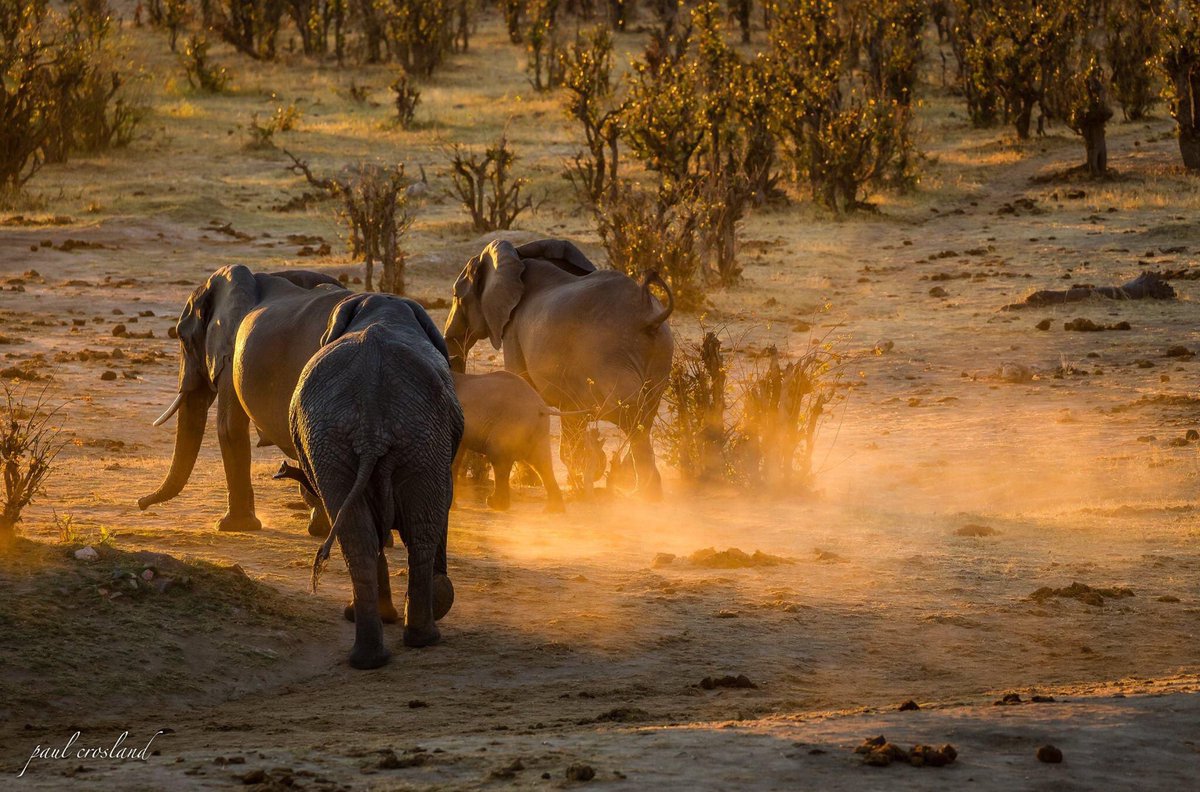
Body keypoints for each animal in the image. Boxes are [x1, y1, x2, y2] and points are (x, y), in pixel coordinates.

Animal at [291, 290, 463, 667]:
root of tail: (371, 424)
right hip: (414, 437)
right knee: (413, 531)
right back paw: (418, 639)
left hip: (349, 443)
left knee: (363, 537)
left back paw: (374, 655)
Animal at [451, 367, 564, 511]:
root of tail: (541, 407)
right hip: (538, 430)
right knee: (541, 463)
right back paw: (553, 510)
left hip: (511, 424)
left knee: (498, 456)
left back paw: (495, 504)